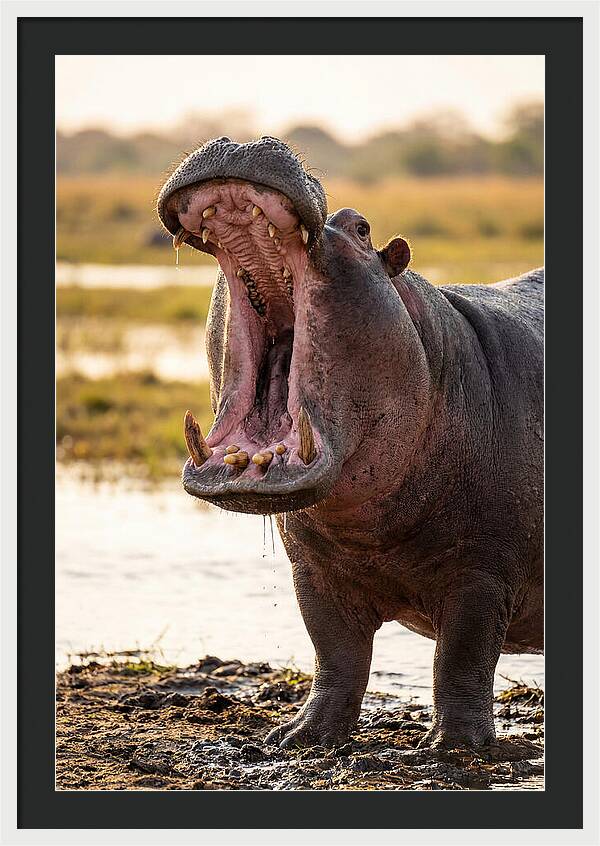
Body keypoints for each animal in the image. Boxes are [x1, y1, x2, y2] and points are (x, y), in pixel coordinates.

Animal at [157, 136, 543, 750]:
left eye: (361, 228)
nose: (244, 140)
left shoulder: (483, 574)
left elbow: (462, 658)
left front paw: (456, 748)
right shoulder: (313, 572)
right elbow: (336, 652)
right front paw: (299, 736)